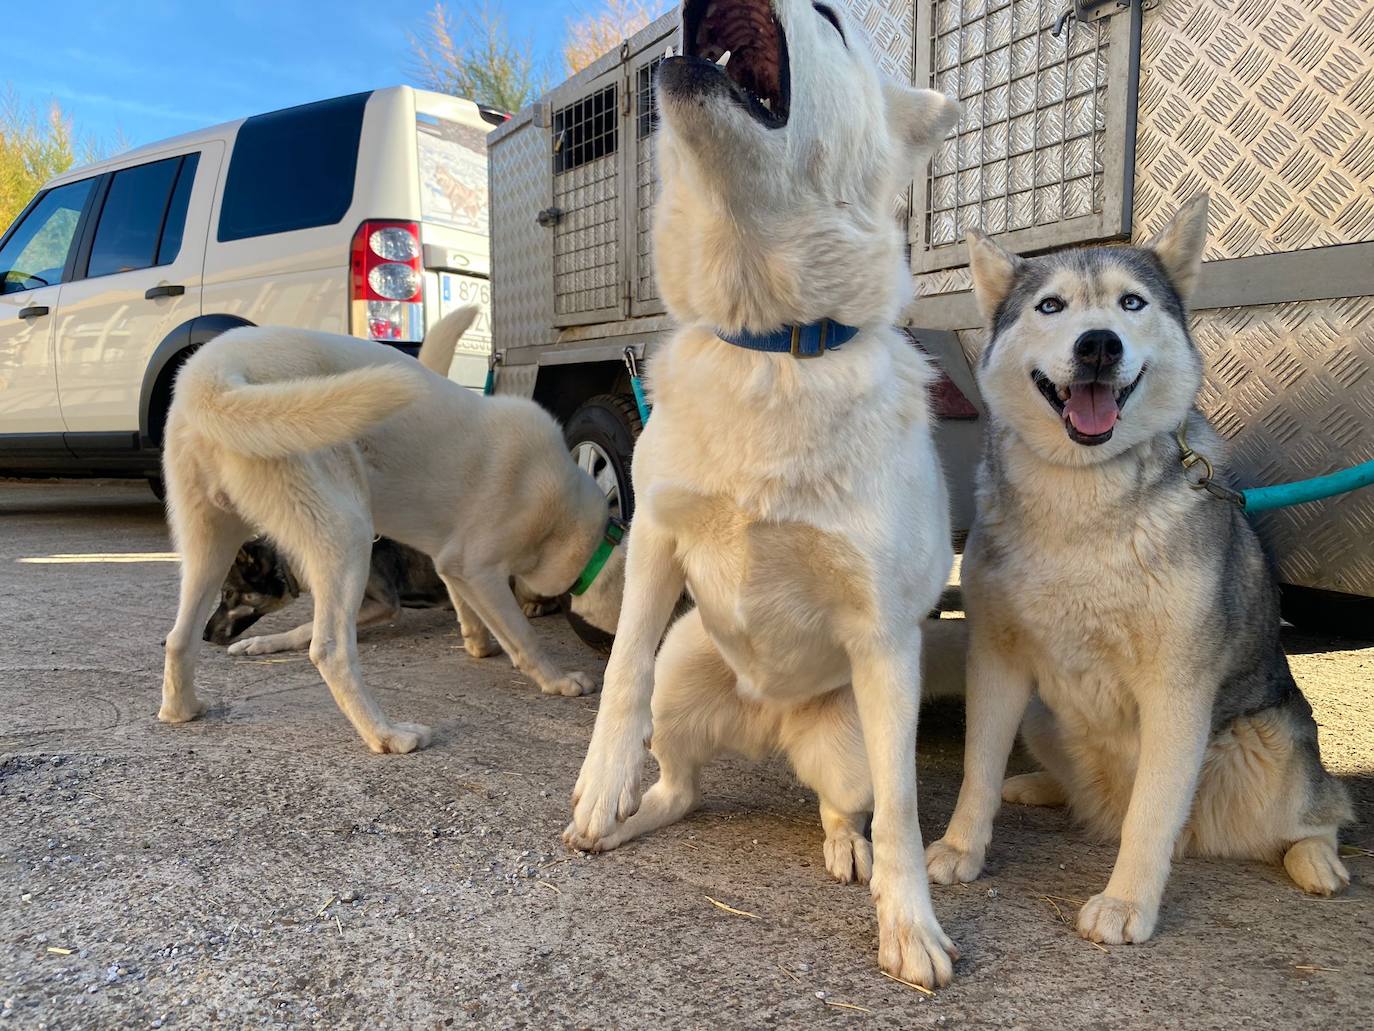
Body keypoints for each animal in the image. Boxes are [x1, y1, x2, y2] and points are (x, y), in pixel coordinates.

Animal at [158, 306, 610, 753]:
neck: (567, 515)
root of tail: (213, 376)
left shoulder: (451, 565)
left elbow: (471, 609)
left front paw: (478, 643)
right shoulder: (477, 569)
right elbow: (523, 635)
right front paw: (558, 680)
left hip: (209, 543)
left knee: (179, 637)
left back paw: (182, 709)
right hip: (347, 534)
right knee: (330, 650)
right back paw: (387, 735)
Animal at [563, 0, 961, 989]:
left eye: (831, 17)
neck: (774, 341)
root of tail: (768, 720)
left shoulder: (885, 639)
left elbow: (906, 809)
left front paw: (910, 923)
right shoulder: (656, 546)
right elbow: (617, 675)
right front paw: (599, 785)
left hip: (848, 742)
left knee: (845, 806)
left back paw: (849, 851)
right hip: (684, 673)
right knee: (680, 782)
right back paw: (629, 814)